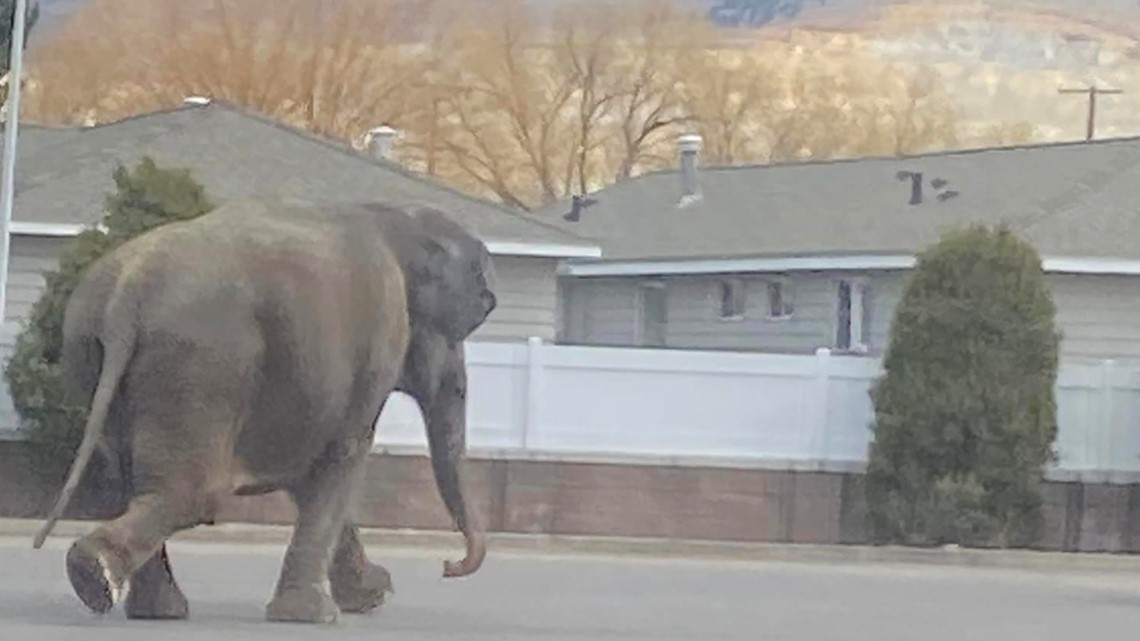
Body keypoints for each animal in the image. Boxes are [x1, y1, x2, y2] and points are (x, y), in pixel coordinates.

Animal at [27, 197, 494, 620]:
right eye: (460, 330)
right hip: (205, 362)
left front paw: (369, 595)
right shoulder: (377, 344)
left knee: (131, 483)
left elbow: (310, 476)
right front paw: (315, 614)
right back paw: (97, 576)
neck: (395, 218)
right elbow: (342, 457)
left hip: (93, 357)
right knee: (191, 493)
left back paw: (151, 607)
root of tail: (129, 291)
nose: (447, 566)